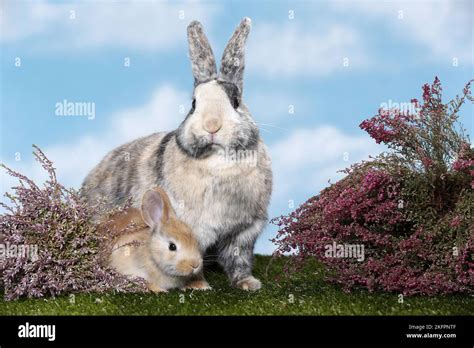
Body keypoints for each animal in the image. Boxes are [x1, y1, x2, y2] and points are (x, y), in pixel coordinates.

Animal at [82, 18, 270, 290]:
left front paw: (248, 284)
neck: (218, 161)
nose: (212, 125)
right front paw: (199, 285)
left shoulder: (244, 232)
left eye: (235, 101)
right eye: (193, 104)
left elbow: (239, 260)